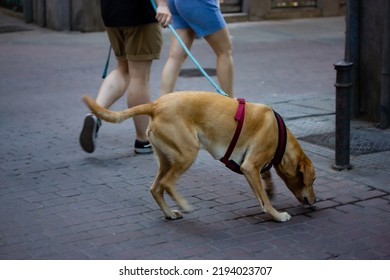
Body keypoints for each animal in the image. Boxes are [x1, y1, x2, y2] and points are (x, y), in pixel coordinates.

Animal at [81, 91, 314, 222]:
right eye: (312, 180)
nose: (314, 201)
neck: (279, 135)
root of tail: (155, 105)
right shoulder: (250, 167)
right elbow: (264, 199)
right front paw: (277, 215)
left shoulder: (251, 171)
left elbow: (261, 194)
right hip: (187, 153)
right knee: (166, 183)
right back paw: (184, 205)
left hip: (167, 159)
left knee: (156, 188)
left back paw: (169, 213)